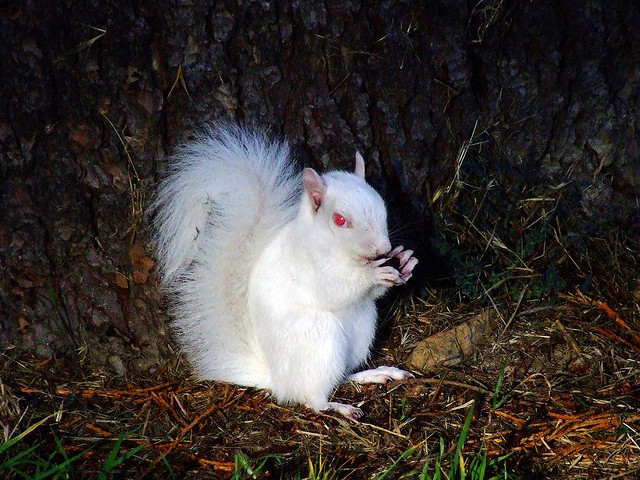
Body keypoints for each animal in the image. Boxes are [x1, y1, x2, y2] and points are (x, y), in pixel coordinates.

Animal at [152, 124, 418, 420]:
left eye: (382, 205)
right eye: (340, 220)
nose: (384, 248)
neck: (330, 245)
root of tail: (276, 378)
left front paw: (405, 261)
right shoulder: (308, 266)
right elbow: (336, 287)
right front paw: (374, 275)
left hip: (361, 330)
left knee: (341, 375)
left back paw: (373, 374)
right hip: (320, 335)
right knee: (311, 397)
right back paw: (338, 406)